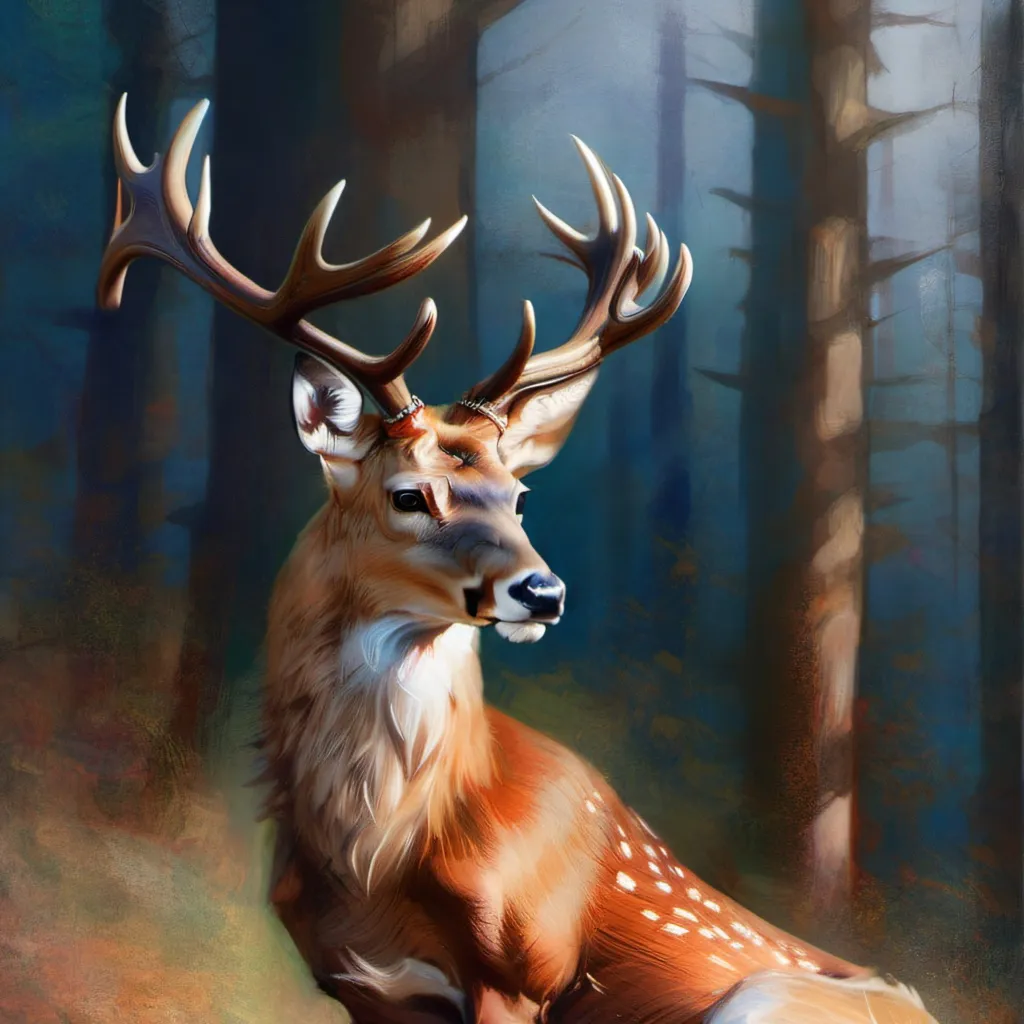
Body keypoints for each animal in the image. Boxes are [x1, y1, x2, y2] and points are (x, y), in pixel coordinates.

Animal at [97, 96, 942, 1024]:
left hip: (764, 997)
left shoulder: (523, 969)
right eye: (410, 495)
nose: (543, 592)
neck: (375, 860)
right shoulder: (359, 986)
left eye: (520, 494)